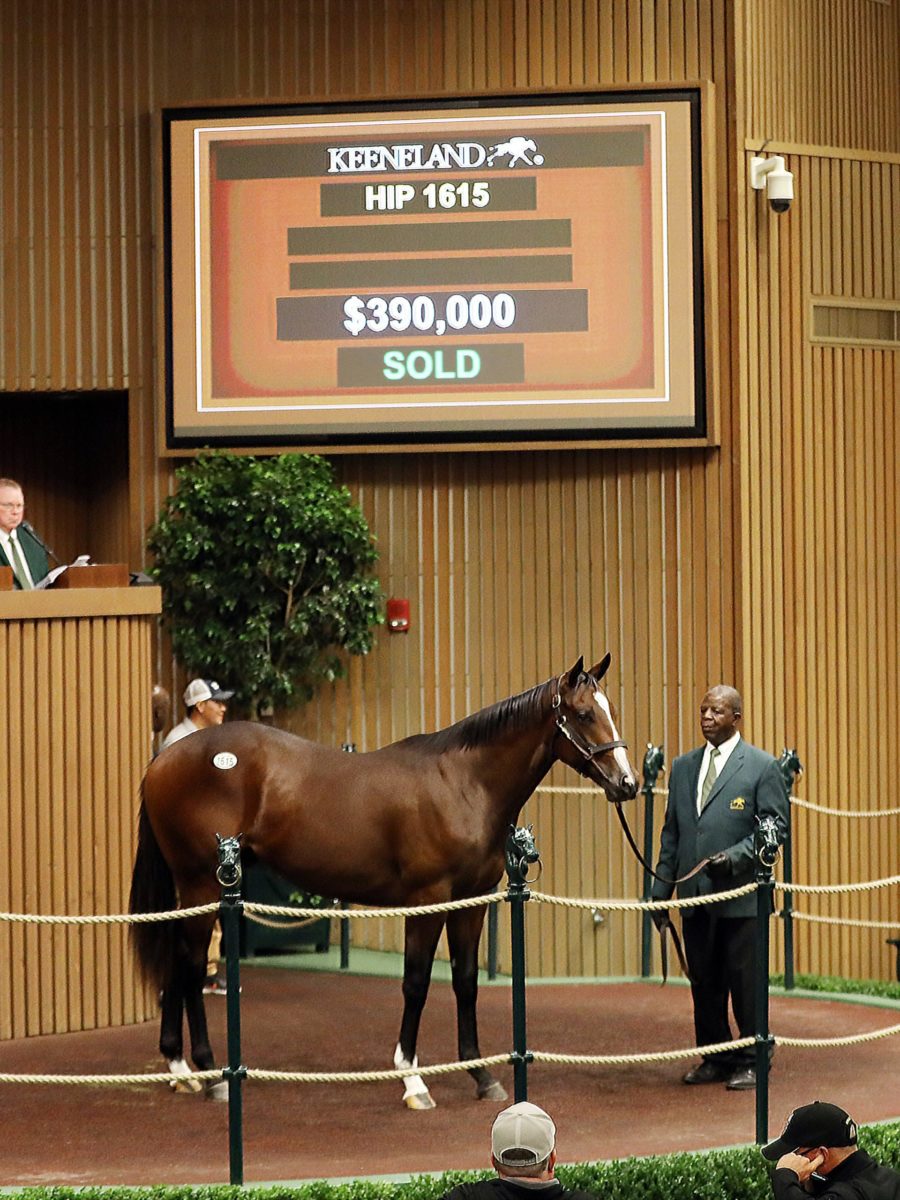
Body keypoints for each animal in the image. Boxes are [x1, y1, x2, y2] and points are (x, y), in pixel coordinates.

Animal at [130, 657, 638, 1104]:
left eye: (612, 709)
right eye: (585, 714)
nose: (628, 784)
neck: (464, 784)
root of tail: (161, 760)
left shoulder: (473, 900)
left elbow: (466, 981)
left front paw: (481, 1074)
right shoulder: (427, 900)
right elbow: (416, 983)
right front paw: (412, 1079)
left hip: (193, 889)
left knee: (176, 959)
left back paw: (179, 1068)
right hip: (202, 883)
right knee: (192, 963)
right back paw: (211, 1072)